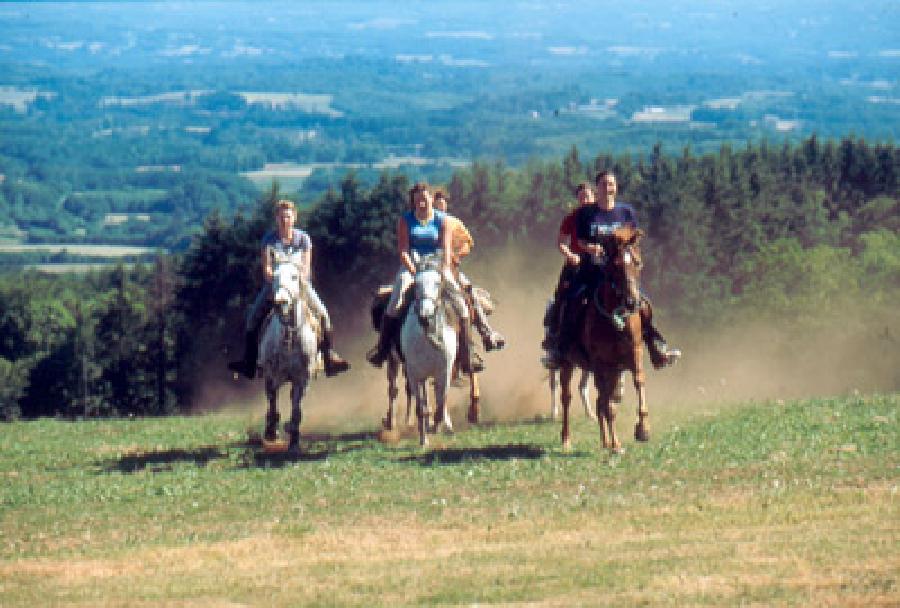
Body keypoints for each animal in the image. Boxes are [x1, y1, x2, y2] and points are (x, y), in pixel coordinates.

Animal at [258, 249, 318, 454]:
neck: (290, 337)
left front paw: (293, 440)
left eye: (294, 276)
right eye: (274, 277)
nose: (281, 302)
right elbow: (272, 402)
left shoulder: (303, 379)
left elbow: (297, 410)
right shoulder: (270, 376)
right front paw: (271, 431)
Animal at [556, 226, 648, 454]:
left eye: (638, 262)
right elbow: (608, 405)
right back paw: (566, 440)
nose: (632, 302)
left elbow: (638, 382)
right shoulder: (599, 363)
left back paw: (605, 441)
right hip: (568, 363)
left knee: (600, 401)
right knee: (567, 397)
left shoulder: (634, 353)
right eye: (615, 266)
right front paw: (616, 445)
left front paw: (643, 429)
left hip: (613, 370)